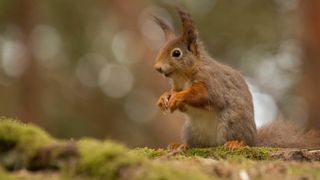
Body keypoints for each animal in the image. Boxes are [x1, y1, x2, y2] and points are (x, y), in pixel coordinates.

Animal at [153, 7, 320, 148]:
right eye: (161, 49)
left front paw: (178, 97)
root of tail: (255, 141)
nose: (157, 68)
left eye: (176, 53)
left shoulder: (213, 81)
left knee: (241, 140)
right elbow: (174, 95)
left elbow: (206, 95)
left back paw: (235, 143)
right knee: (196, 144)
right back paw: (180, 145)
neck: (183, 76)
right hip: (191, 129)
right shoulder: (177, 85)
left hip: (233, 122)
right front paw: (163, 98)